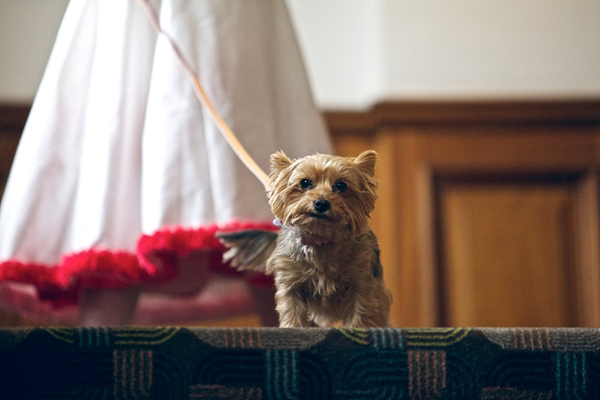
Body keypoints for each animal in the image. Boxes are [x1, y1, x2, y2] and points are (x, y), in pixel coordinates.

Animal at [218, 150, 392, 328]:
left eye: (341, 186)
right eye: (305, 183)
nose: (321, 203)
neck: (321, 239)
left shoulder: (361, 283)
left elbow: (360, 314)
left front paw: (357, 329)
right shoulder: (291, 285)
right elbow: (292, 313)